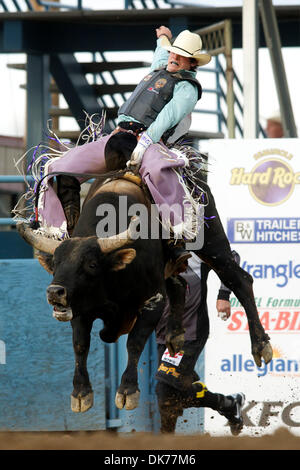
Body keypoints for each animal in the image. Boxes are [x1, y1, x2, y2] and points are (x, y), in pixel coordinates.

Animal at [17, 173, 274, 414]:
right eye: (55, 264)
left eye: (91, 264)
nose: (55, 292)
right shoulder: (80, 308)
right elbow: (80, 344)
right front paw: (81, 393)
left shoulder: (153, 302)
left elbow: (135, 342)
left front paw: (127, 390)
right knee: (179, 284)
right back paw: (175, 334)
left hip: (211, 241)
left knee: (239, 280)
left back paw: (260, 346)